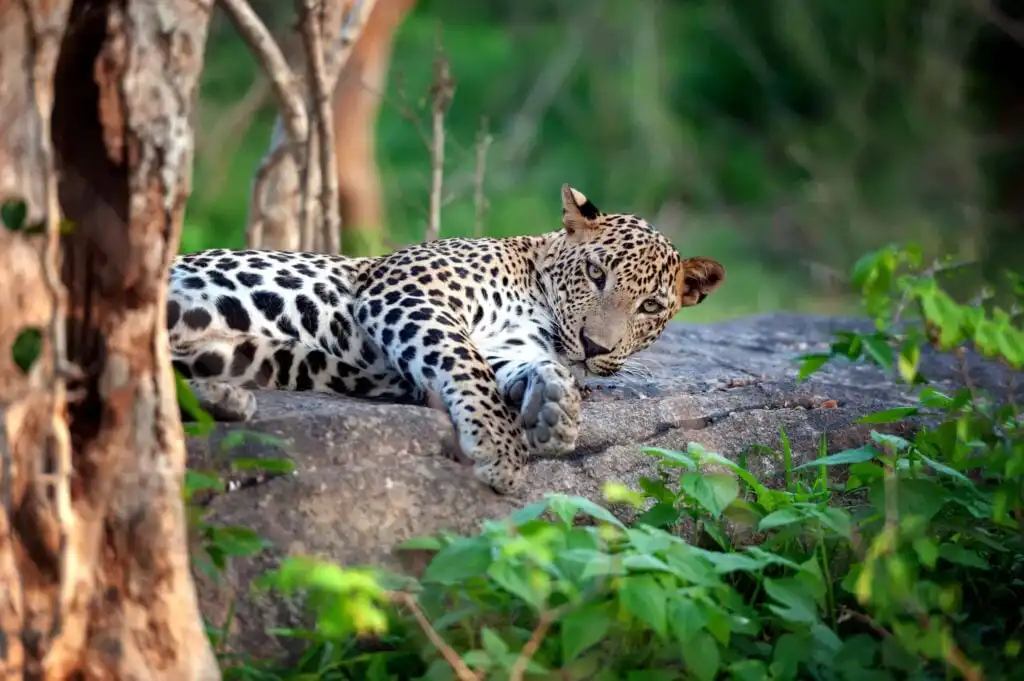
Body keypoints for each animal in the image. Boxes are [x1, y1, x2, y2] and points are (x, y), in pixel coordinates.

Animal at [167, 184, 725, 494]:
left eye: (649, 306)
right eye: (594, 273)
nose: (595, 348)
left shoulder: (508, 346)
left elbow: (509, 369)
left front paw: (555, 406)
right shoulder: (409, 293)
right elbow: (466, 365)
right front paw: (501, 450)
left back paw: (222, 399)